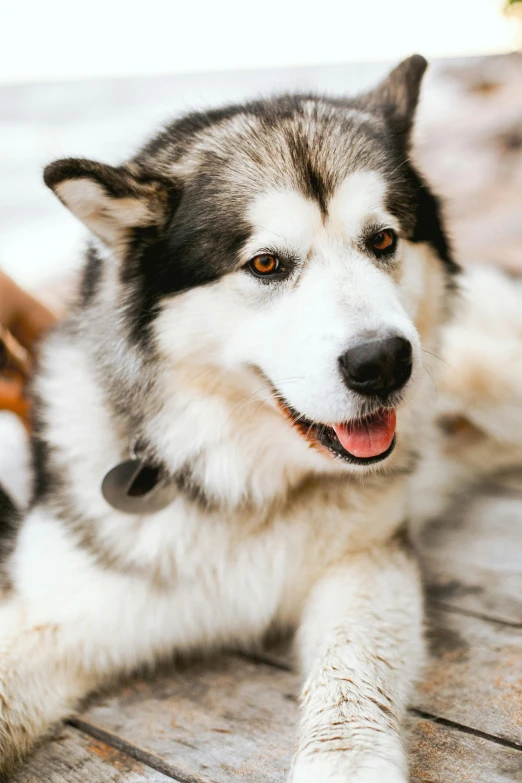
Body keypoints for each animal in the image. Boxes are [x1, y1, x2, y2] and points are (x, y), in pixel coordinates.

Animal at [2, 53, 462, 776]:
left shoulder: (368, 559)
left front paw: (347, 761)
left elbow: (352, 665)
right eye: (266, 263)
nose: (384, 362)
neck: (243, 484)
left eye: (383, 239)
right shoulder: (56, 611)